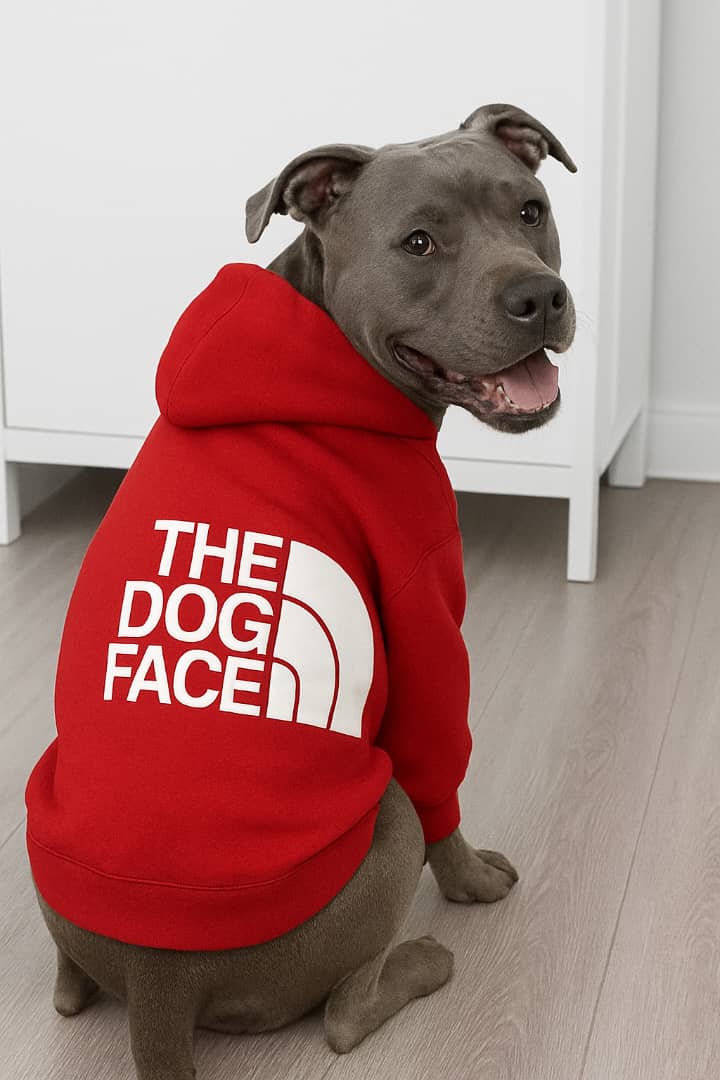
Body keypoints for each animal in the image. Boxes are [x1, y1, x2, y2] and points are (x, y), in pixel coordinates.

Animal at [25, 103, 576, 1080]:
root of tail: (161, 986)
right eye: (419, 242)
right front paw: (472, 882)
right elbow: (444, 775)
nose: (538, 297)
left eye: (531, 211)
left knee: (66, 991)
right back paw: (422, 962)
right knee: (345, 1016)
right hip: (385, 817)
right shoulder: (424, 607)